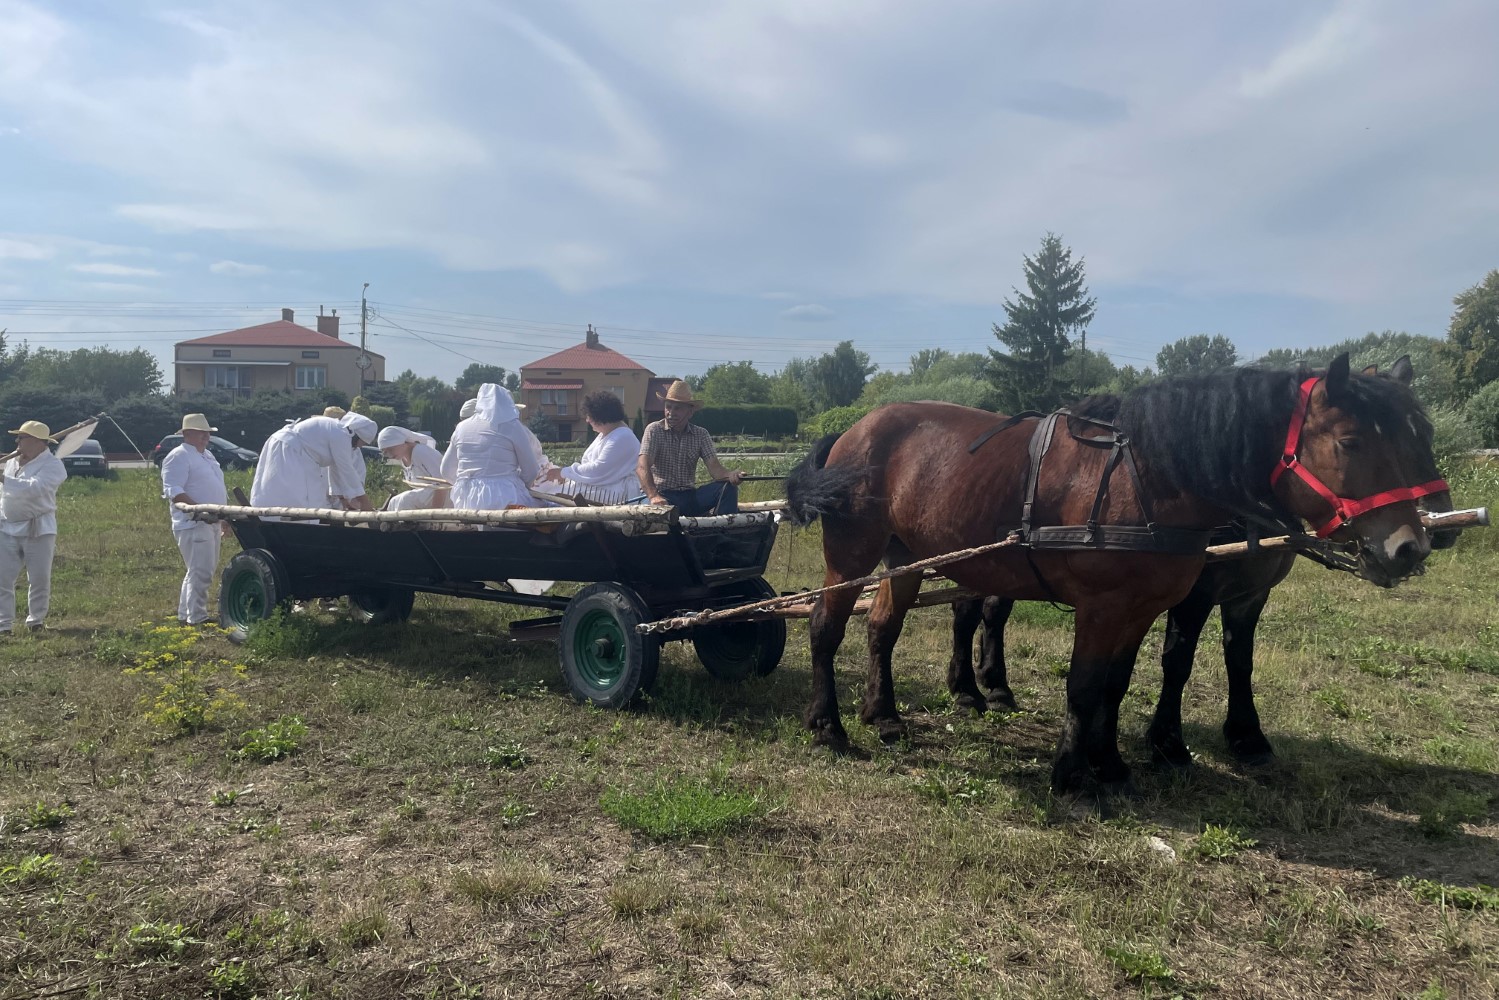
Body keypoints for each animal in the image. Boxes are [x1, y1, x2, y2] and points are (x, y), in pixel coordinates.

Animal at [791, 355, 1445, 791]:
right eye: (1351, 440)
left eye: (1423, 436)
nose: (1411, 546)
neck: (1149, 479)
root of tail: (855, 428)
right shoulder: (1105, 606)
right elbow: (1085, 684)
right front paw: (1073, 774)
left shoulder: (1144, 607)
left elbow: (1117, 683)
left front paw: (1109, 763)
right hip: (851, 555)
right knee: (826, 625)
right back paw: (828, 726)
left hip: (906, 555)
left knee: (883, 627)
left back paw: (884, 715)